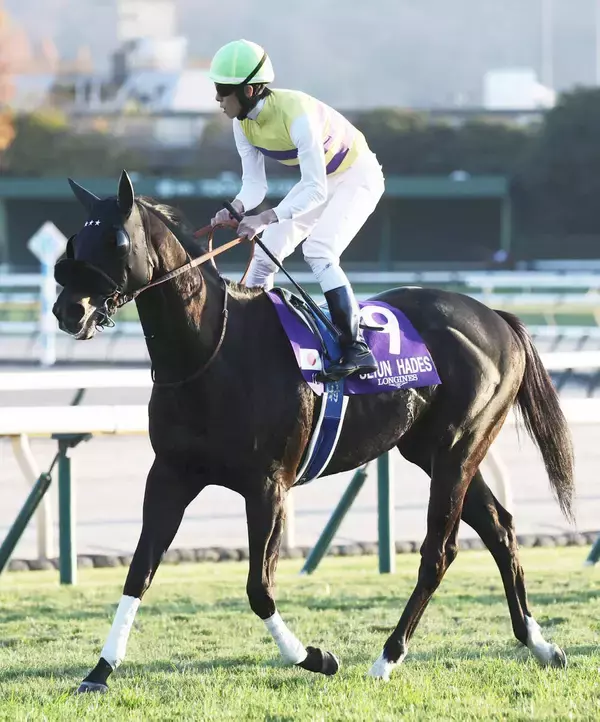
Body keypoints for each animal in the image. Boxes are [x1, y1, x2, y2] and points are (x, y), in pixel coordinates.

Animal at [53, 171, 574, 692]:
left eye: (117, 241)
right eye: (75, 239)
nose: (67, 311)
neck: (212, 352)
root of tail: (496, 317)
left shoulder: (268, 485)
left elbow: (259, 589)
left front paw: (315, 656)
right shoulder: (170, 474)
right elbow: (139, 571)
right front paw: (99, 670)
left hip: (458, 447)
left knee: (440, 551)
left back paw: (389, 656)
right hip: (431, 450)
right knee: (500, 528)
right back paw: (539, 643)